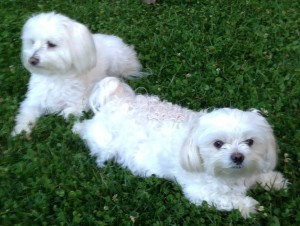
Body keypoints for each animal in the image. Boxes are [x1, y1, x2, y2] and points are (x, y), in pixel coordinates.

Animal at [12, 12, 141, 135]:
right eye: (32, 42)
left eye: (51, 44)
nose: (31, 60)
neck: (54, 76)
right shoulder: (34, 99)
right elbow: (26, 113)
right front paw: (21, 129)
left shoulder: (80, 100)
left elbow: (70, 112)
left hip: (119, 64)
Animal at [72, 77, 288, 218]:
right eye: (218, 144)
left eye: (249, 142)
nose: (237, 157)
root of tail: (117, 99)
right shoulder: (200, 192)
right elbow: (228, 199)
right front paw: (249, 205)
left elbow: (258, 175)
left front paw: (273, 180)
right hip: (104, 143)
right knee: (85, 129)